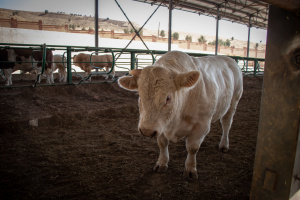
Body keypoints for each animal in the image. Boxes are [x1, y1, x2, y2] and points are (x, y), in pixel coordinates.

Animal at [118, 50, 244, 179]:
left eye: (168, 98)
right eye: (139, 95)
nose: (146, 131)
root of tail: (229, 59)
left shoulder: (202, 125)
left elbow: (193, 148)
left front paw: (190, 169)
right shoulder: (161, 125)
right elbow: (162, 143)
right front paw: (162, 163)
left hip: (233, 102)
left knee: (226, 124)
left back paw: (224, 144)